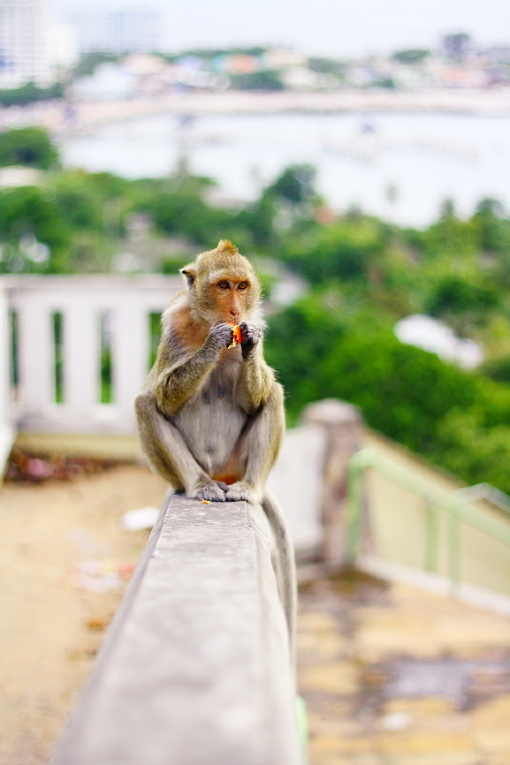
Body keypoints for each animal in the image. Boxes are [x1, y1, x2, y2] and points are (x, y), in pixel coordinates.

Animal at [133, 240, 296, 656]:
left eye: (242, 286)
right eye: (223, 286)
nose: (235, 311)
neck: (206, 318)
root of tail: (224, 473)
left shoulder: (259, 324)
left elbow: (256, 397)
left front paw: (247, 342)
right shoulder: (172, 323)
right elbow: (163, 396)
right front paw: (211, 346)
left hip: (239, 461)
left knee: (272, 394)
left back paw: (249, 488)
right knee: (146, 404)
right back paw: (198, 485)